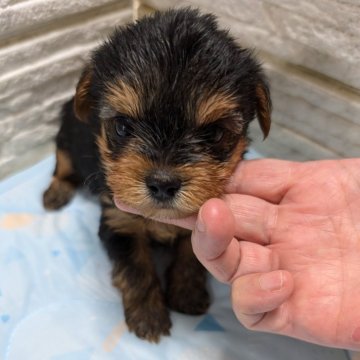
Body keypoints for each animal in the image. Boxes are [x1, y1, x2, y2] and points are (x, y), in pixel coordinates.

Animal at [43, 7, 270, 342]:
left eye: (214, 134)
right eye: (123, 126)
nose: (163, 183)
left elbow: (191, 254)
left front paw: (187, 293)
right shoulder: (119, 221)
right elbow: (136, 270)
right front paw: (149, 318)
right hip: (67, 134)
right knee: (62, 164)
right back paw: (55, 193)